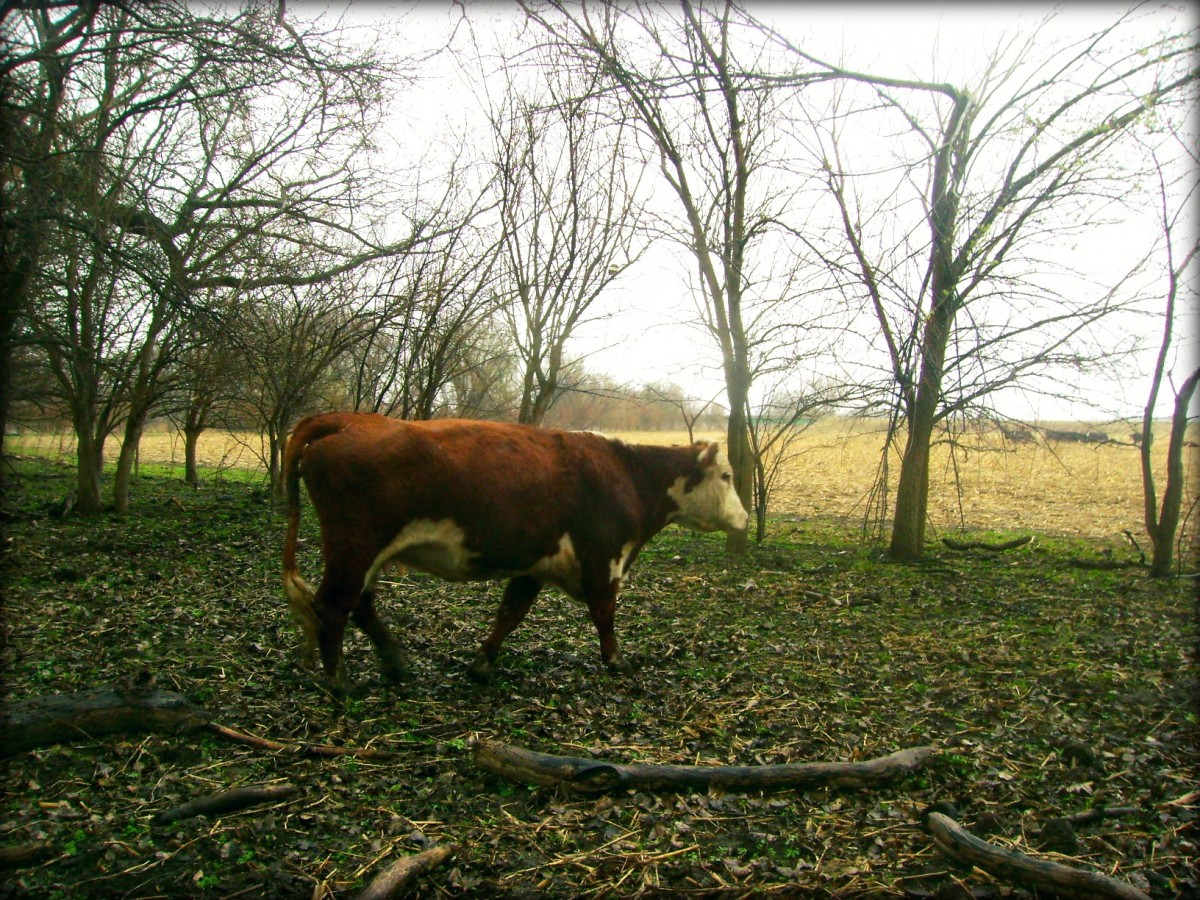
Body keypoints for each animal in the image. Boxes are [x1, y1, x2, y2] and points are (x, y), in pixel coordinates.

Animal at [283, 412, 748, 696]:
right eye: (727, 476)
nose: (744, 518)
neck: (628, 475)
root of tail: (349, 418)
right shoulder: (603, 559)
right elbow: (604, 614)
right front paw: (617, 661)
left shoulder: (535, 566)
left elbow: (510, 613)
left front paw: (482, 664)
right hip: (354, 547)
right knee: (333, 606)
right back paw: (338, 681)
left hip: (366, 555)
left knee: (361, 605)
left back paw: (395, 664)